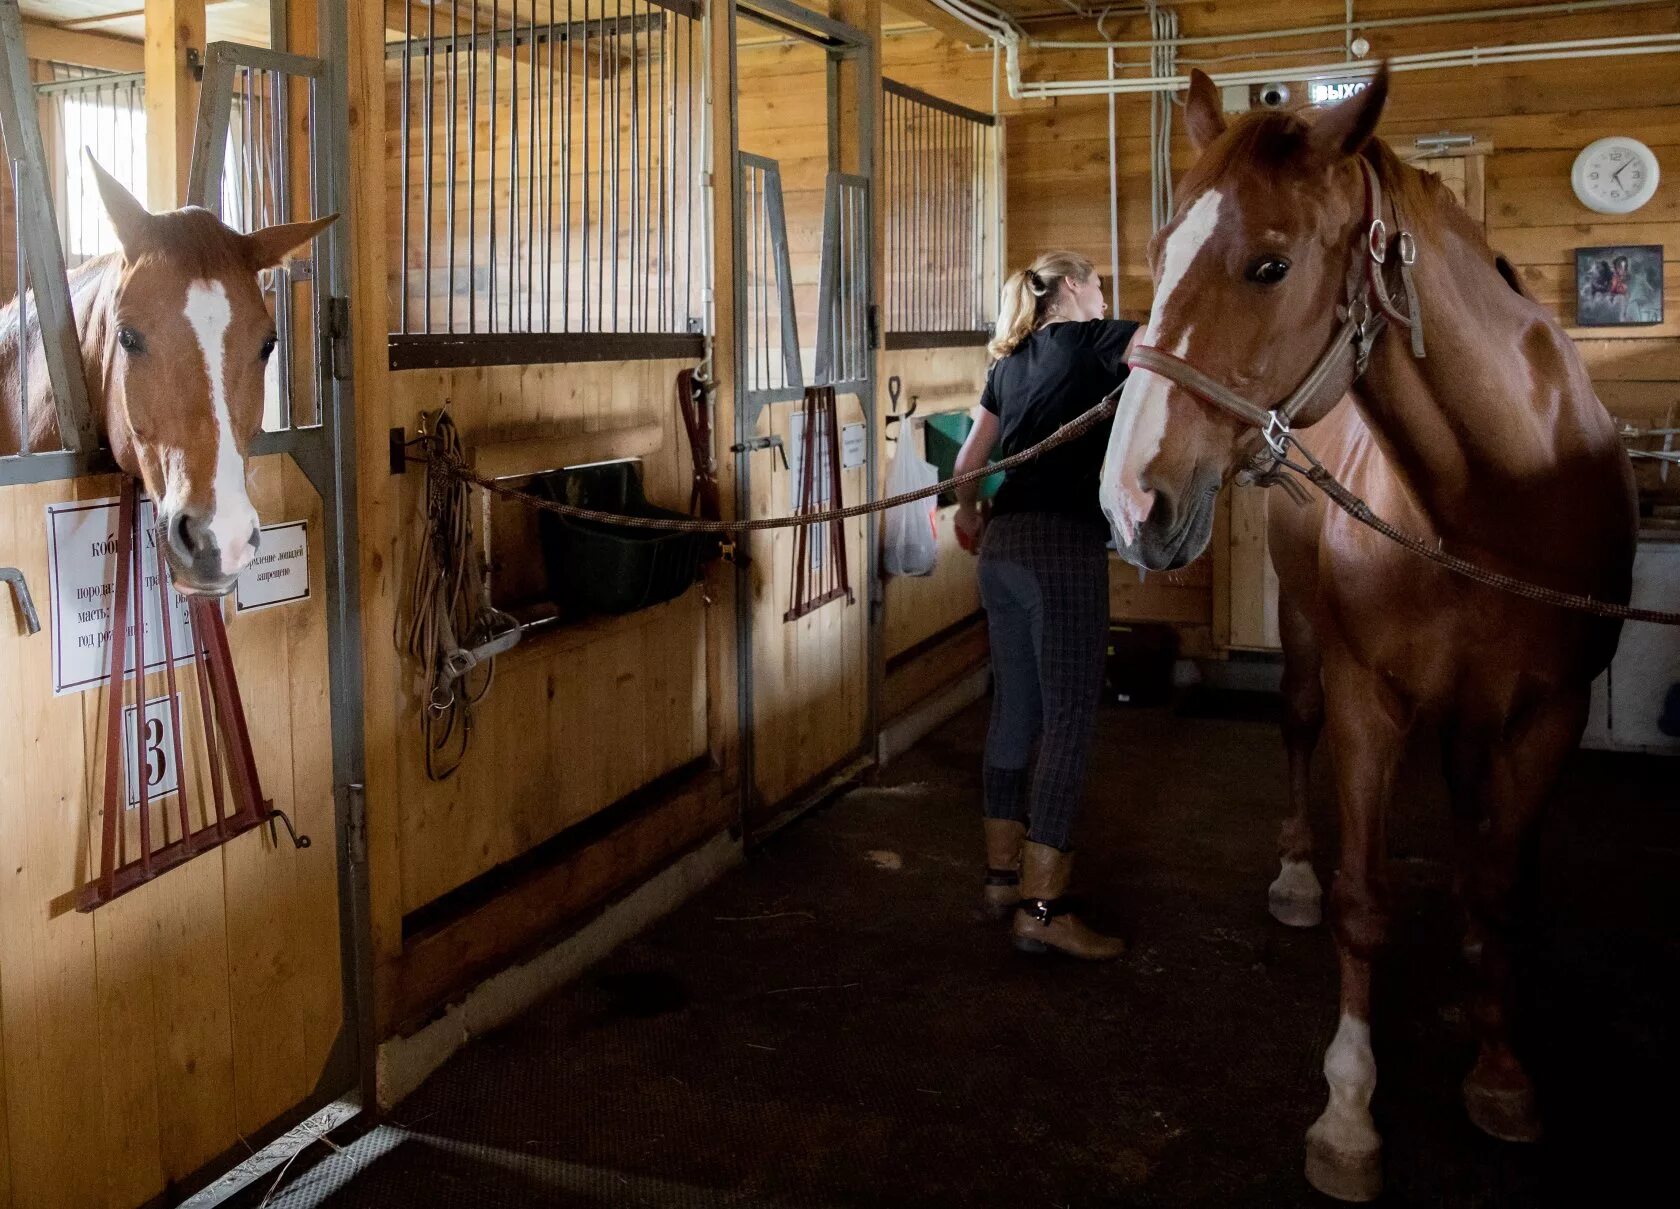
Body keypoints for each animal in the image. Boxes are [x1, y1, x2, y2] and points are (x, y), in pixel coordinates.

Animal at [1095, 70, 1632, 1202]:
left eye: (1269, 264)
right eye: (1160, 250)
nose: (1128, 501)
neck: (1489, 499)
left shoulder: (1551, 714)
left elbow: (1501, 891)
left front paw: (1501, 1071)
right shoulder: (1365, 697)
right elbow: (1363, 901)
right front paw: (1348, 1110)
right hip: (1307, 641)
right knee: (1295, 728)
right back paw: (1295, 874)